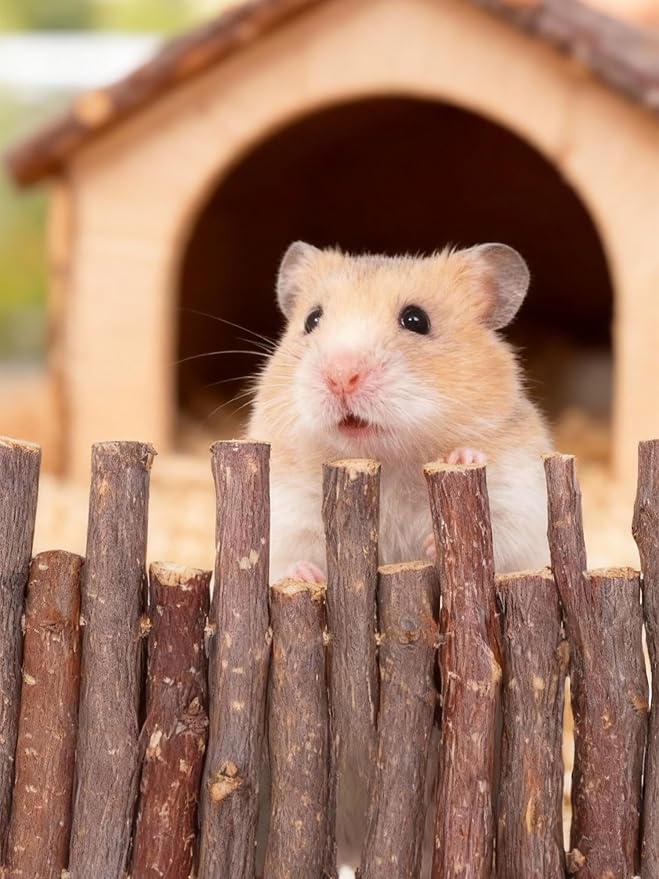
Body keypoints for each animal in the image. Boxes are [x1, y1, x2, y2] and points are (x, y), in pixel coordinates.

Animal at [247, 240, 551, 584]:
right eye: (312, 320)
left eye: (416, 320)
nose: (341, 376)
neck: (387, 464)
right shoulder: (286, 510)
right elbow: (283, 561)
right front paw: (306, 576)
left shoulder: (520, 498)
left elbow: (498, 537)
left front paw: (460, 461)